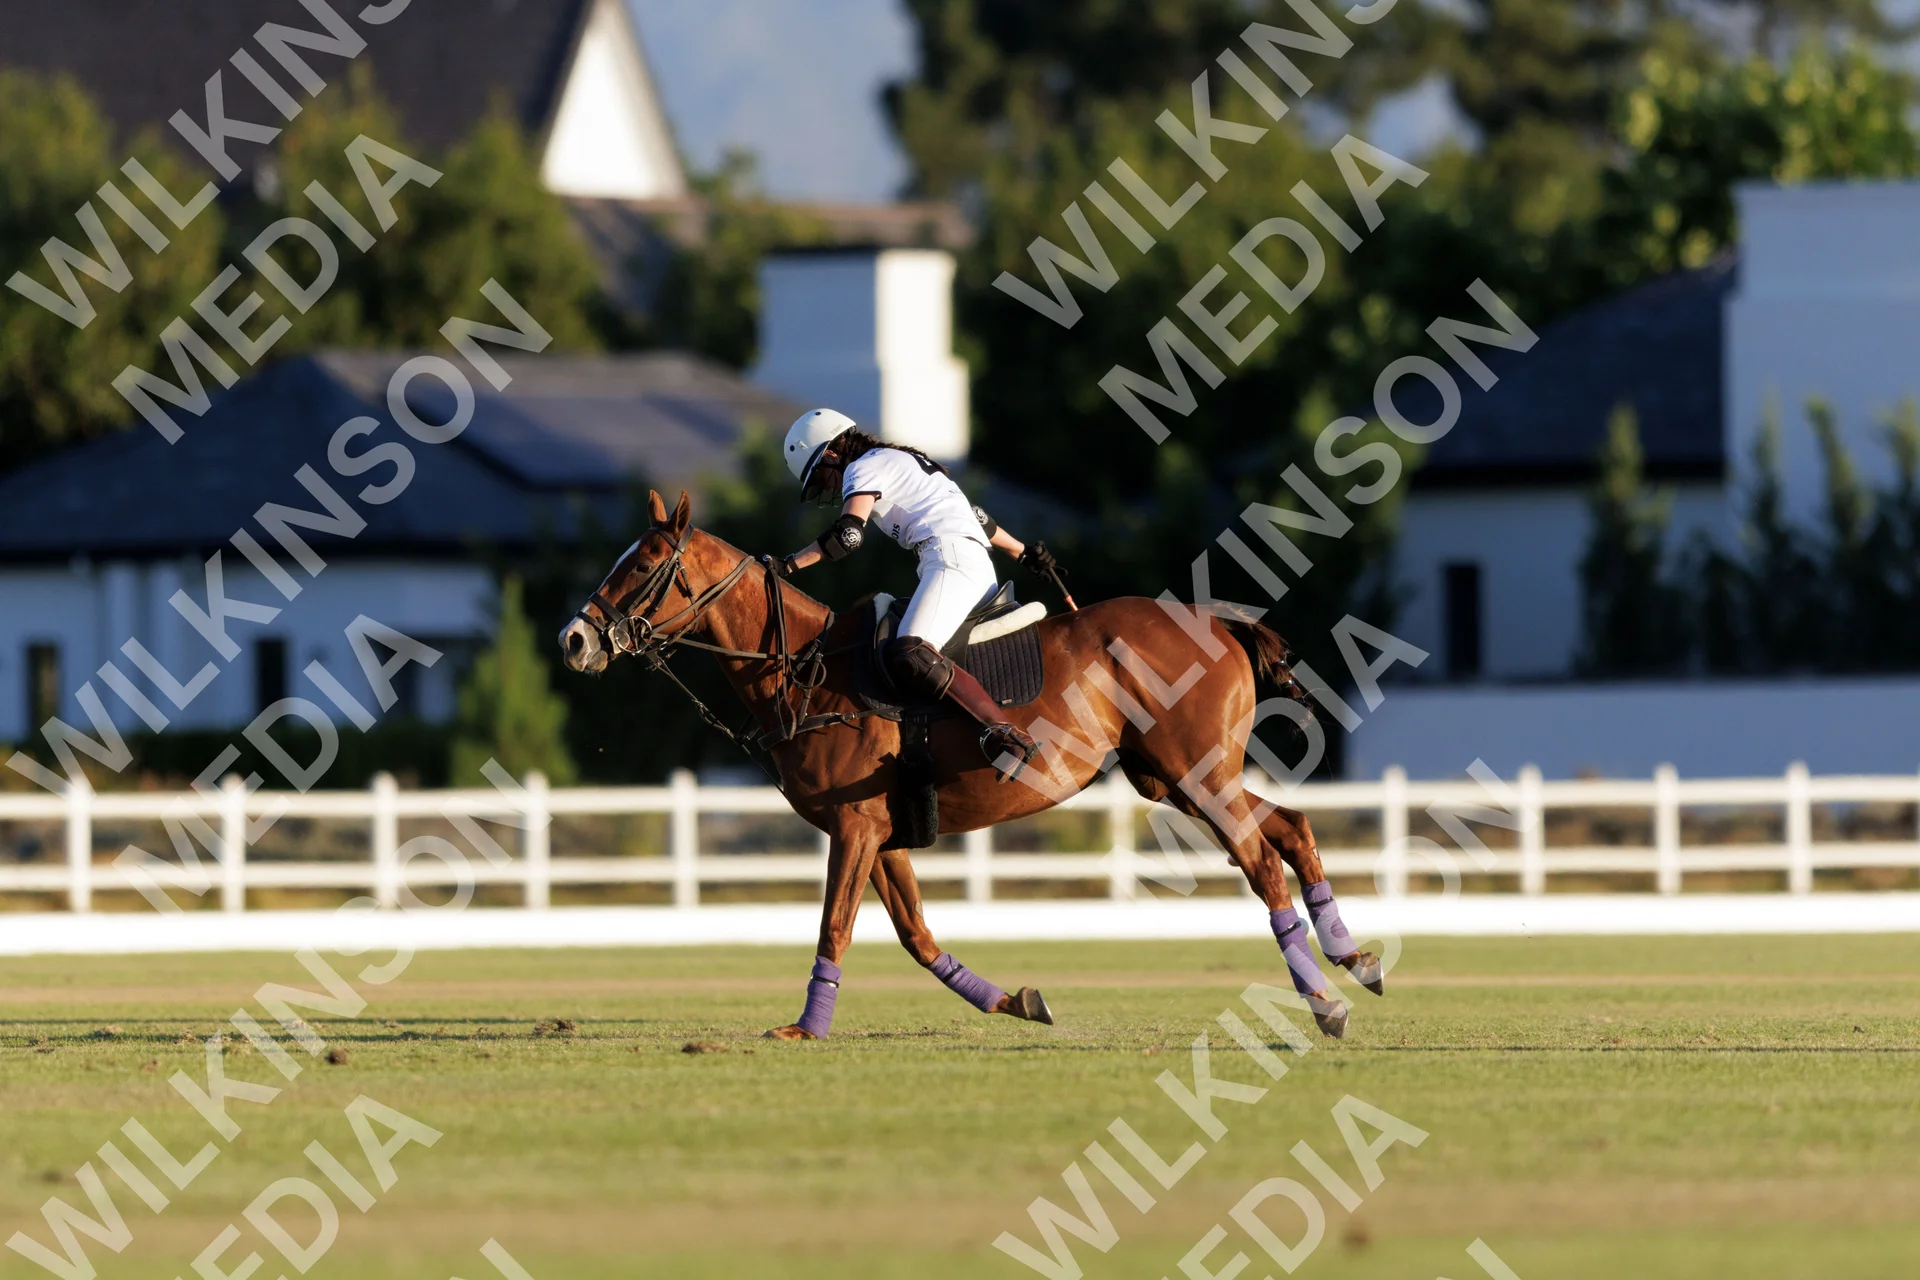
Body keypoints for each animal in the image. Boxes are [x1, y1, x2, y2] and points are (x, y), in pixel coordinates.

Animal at [559, 490, 1382, 1040]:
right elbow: (917, 937)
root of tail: (1222, 622)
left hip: (1195, 772)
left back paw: (1325, 1000)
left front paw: (804, 1028)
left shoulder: (853, 826)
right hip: (1175, 776)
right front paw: (1015, 1001)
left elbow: (834, 927)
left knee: (1260, 858)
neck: (805, 668)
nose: (575, 640)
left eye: (645, 564)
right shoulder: (880, 833)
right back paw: (1354, 958)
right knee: (1291, 827)